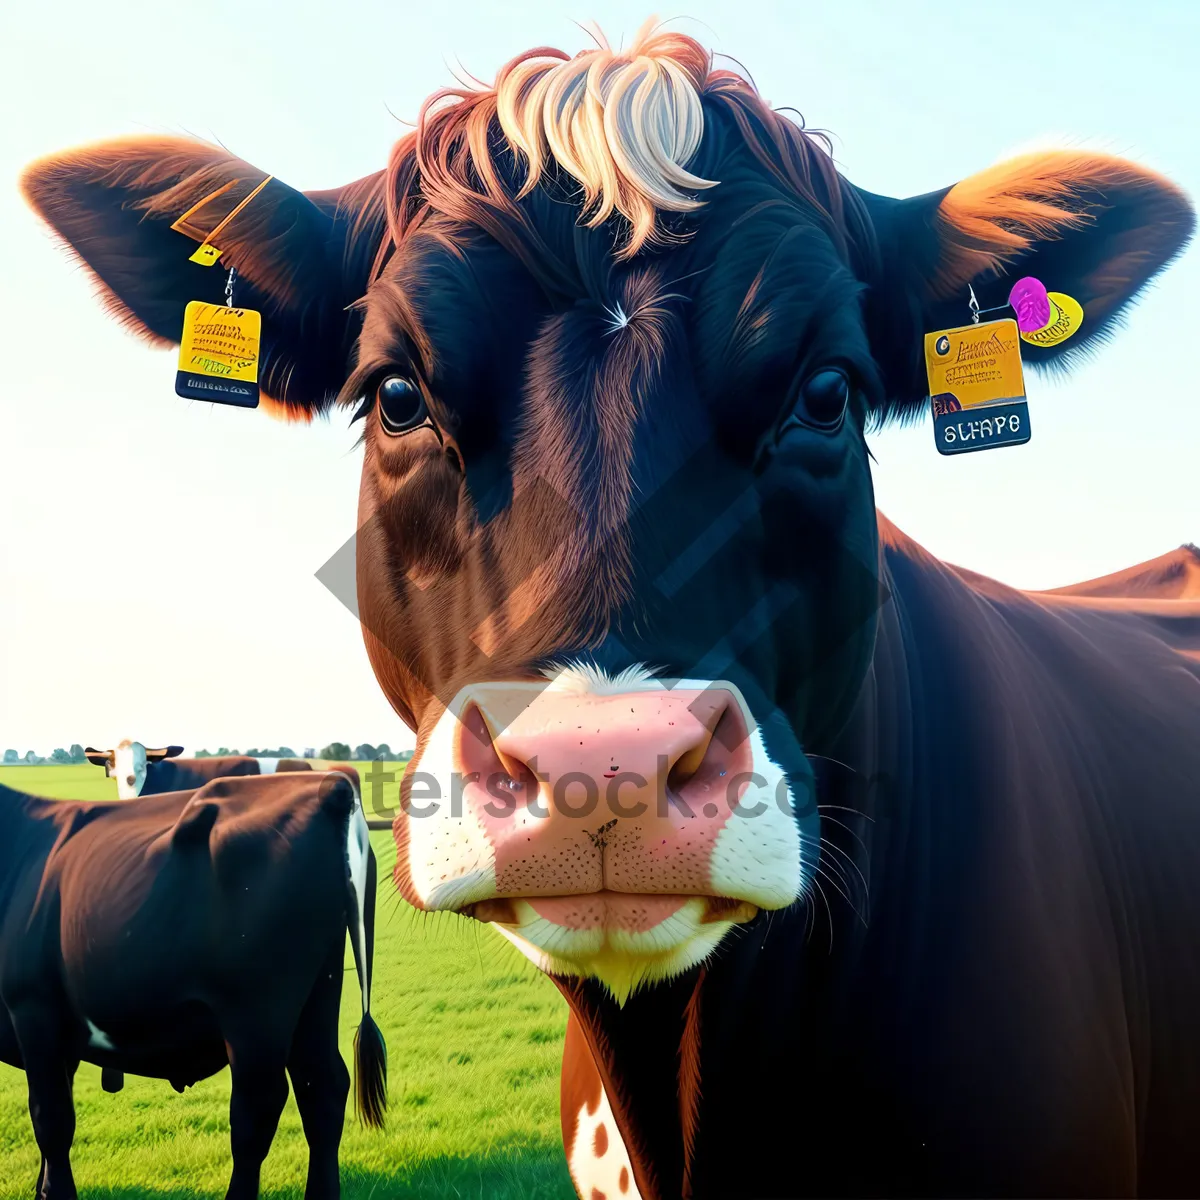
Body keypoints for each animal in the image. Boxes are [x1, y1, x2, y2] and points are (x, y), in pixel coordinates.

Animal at [0, 768, 384, 1200]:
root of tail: (329, 784)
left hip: (258, 1011)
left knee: (258, 1109)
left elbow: (51, 1119)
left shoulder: (32, 1006)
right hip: (319, 992)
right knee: (322, 1089)